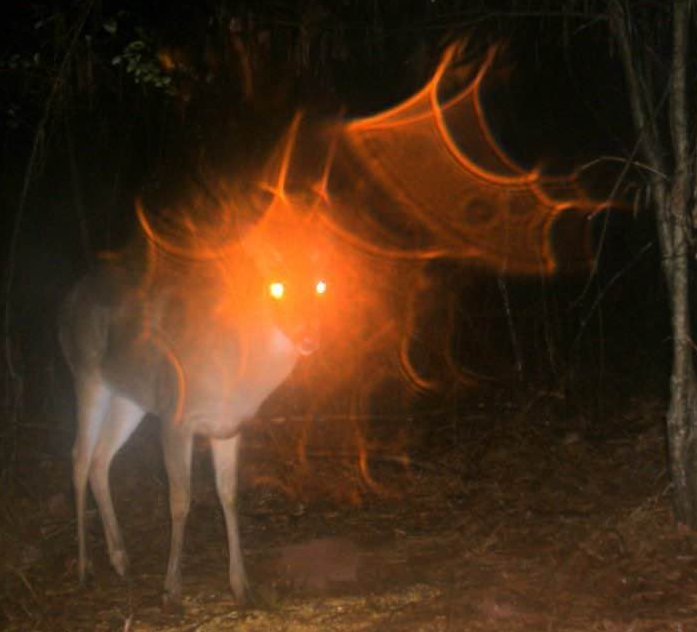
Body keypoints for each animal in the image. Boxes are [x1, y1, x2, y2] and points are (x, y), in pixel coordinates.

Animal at [59, 191, 332, 608]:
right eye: (277, 287)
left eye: (320, 285)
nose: (308, 337)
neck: (236, 372)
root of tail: (68, 301)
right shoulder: (175, 416)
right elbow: (180, 499)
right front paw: (171, 588)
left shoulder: (229, 426)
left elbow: (228, 495)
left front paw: (241, 586)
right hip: (87, 375)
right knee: (78, 457)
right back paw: (84, 569)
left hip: (131, 398)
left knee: (100, 460)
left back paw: (120, 559)